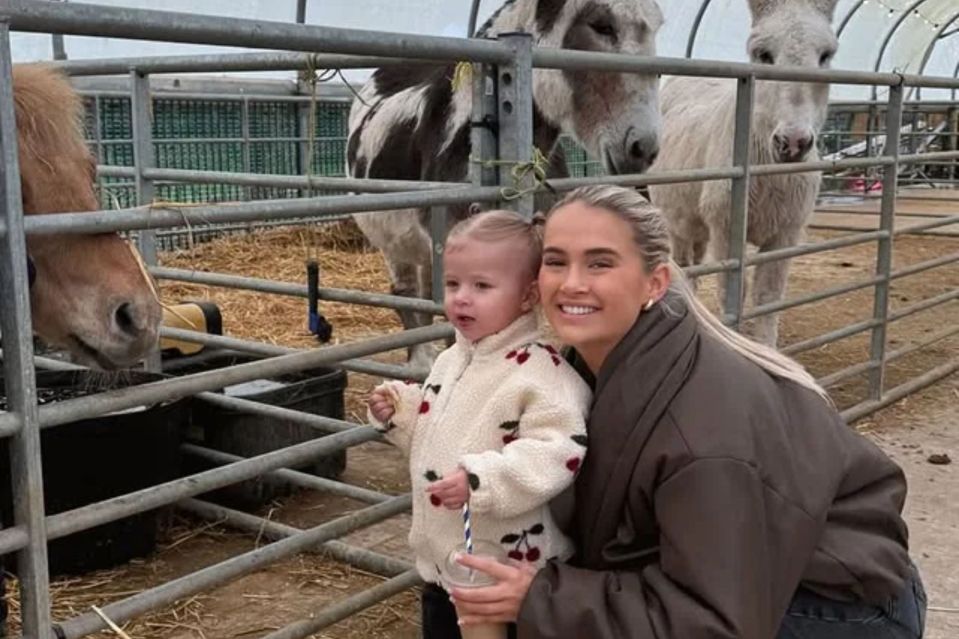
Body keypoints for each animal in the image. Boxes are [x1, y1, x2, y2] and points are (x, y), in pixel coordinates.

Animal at [348, 0, 664, 370]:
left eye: (656, 30)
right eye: (601, 26)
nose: (644, 149)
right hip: (391, 241)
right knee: (406, 296)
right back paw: (419, 363)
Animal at [648, 0, 836, 348]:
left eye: (826, 55)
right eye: (762, 54)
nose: (793, 143)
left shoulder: (786, 232)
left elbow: (768, 297)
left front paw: (767, 349)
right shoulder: (726, 229)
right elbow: (732, 293)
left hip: (698, 223)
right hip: (674, 218)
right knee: (684, 266)